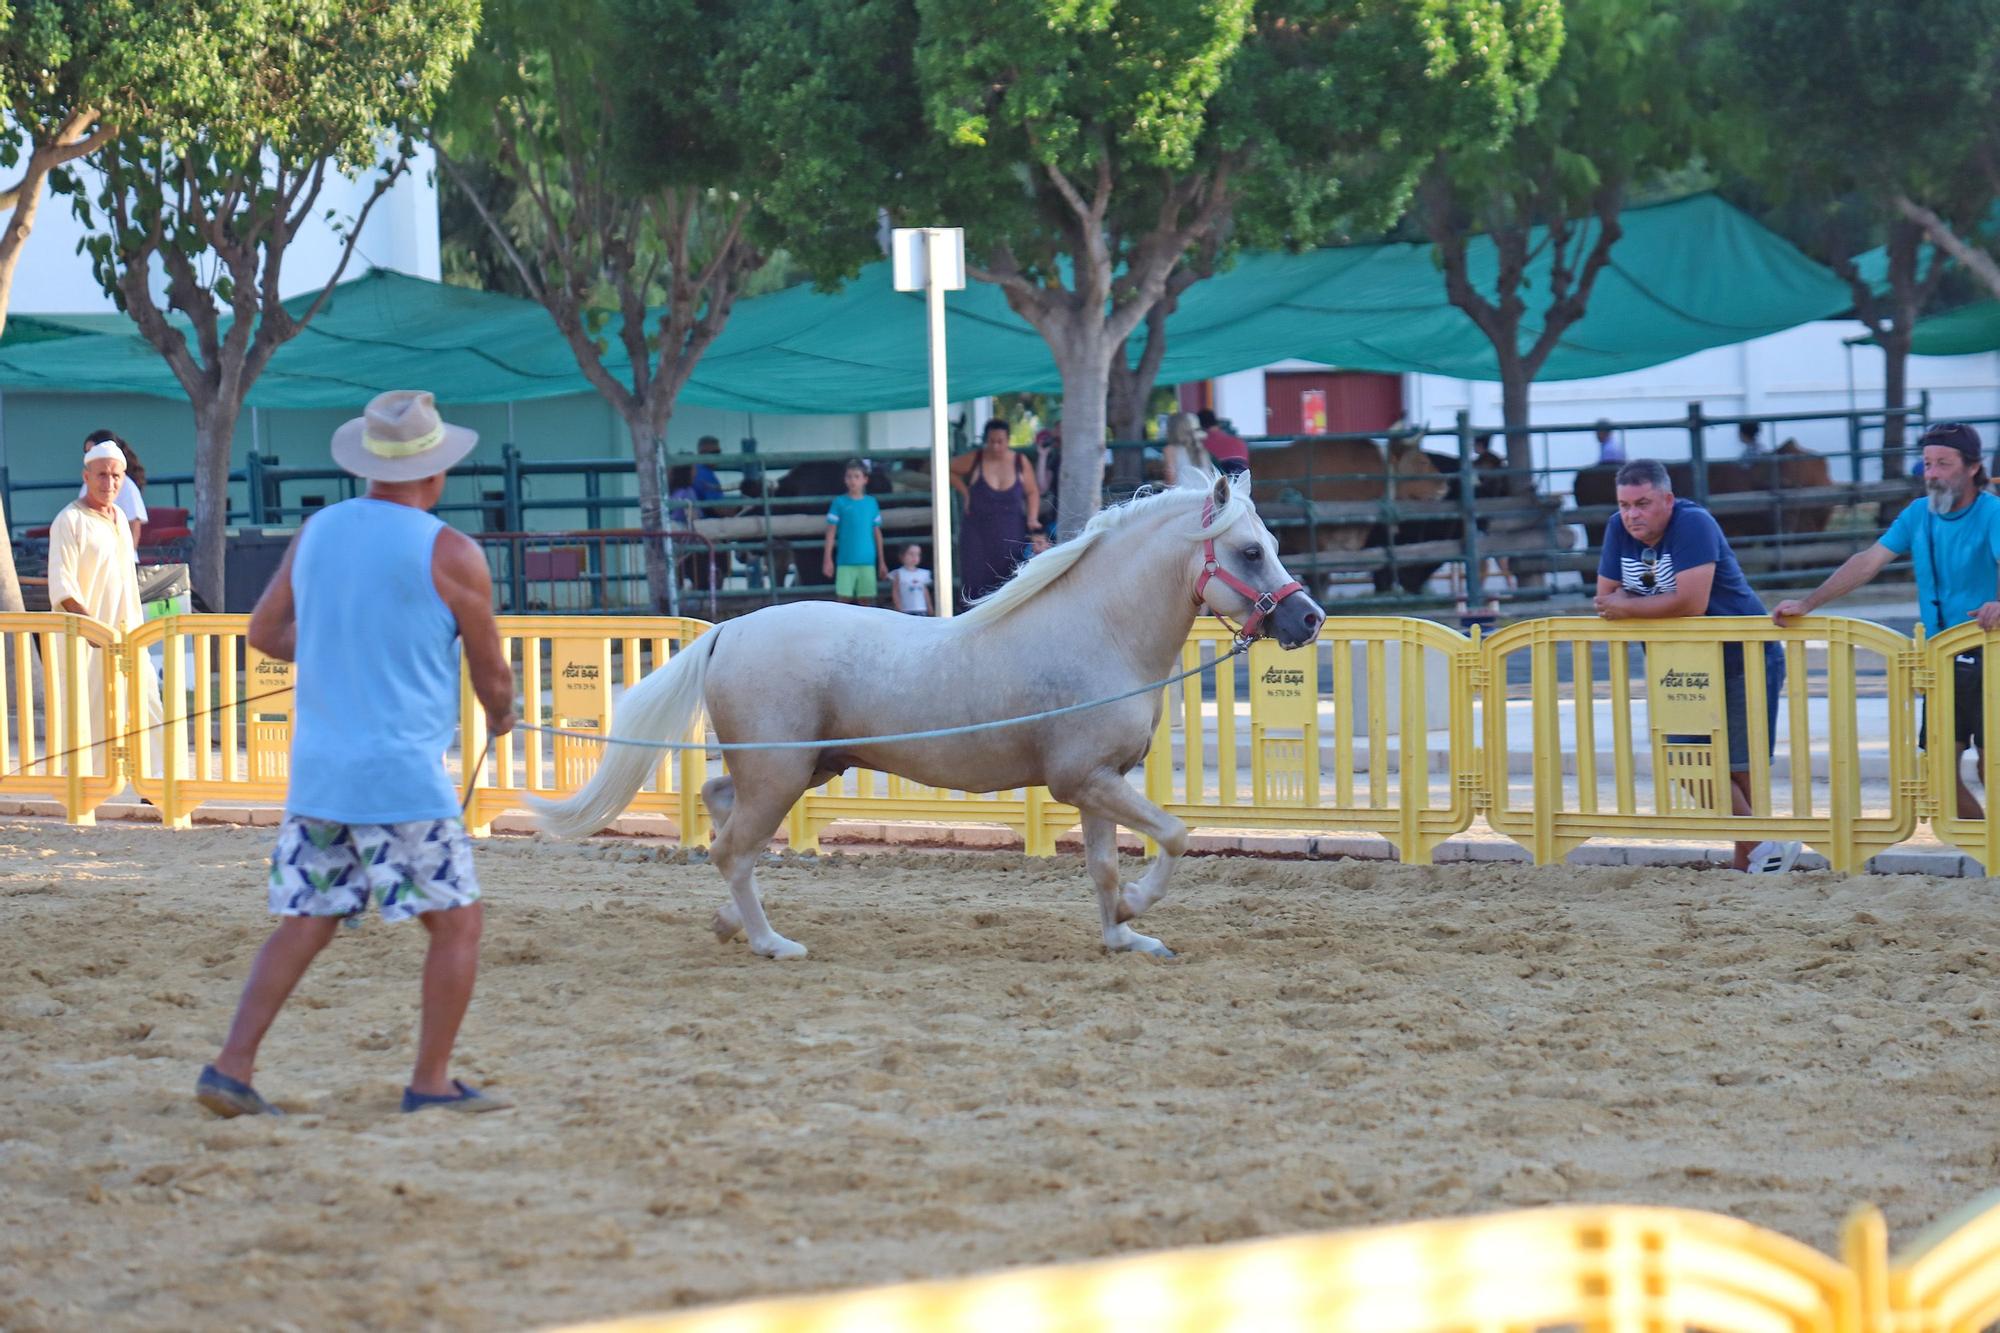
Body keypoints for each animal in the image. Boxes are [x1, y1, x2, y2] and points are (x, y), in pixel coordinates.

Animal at [536, 472, 1328, 960]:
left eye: (1271, 546)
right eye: (1248, 551)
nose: (1309, 620)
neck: (1102, 631)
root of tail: (726, 631)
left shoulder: (1099, 783)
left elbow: (1104, 867)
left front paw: (1124, 937)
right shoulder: (1086, 781)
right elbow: (1176, 835)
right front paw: (1138, 909)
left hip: (795, 770)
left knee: (719, 807)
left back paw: (731, 922)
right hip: (781, 776)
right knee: (732, 849)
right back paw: (770, 942)